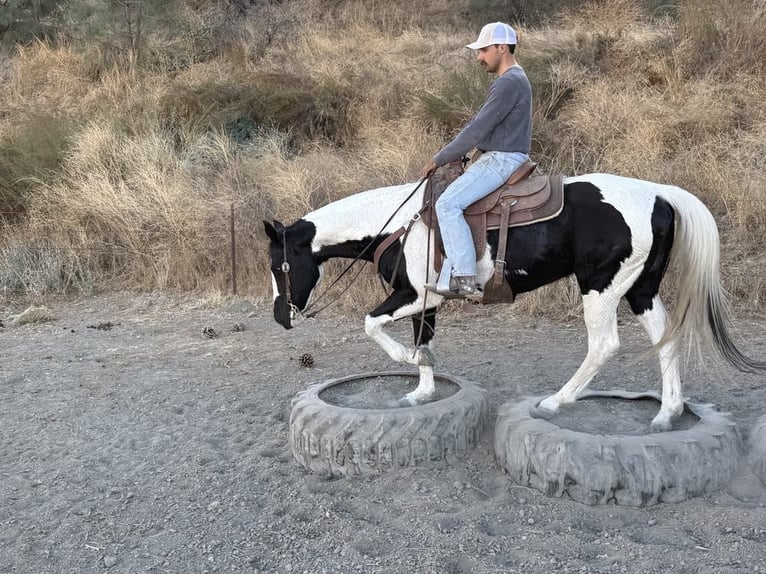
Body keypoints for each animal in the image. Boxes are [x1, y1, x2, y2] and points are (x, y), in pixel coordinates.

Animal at [264, 172, 765, 431]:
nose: (281, 318)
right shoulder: (427, 300)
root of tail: (659, 194)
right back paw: (667, 413)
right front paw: (422, 389)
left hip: (601, 286)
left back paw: (556, 403)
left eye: (279, 265)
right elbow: (423, 339)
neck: (399, 225)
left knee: (603, 345)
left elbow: (372, 324)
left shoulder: (411, 294)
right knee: (666, 340)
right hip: (640, 289)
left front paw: (408, 361)